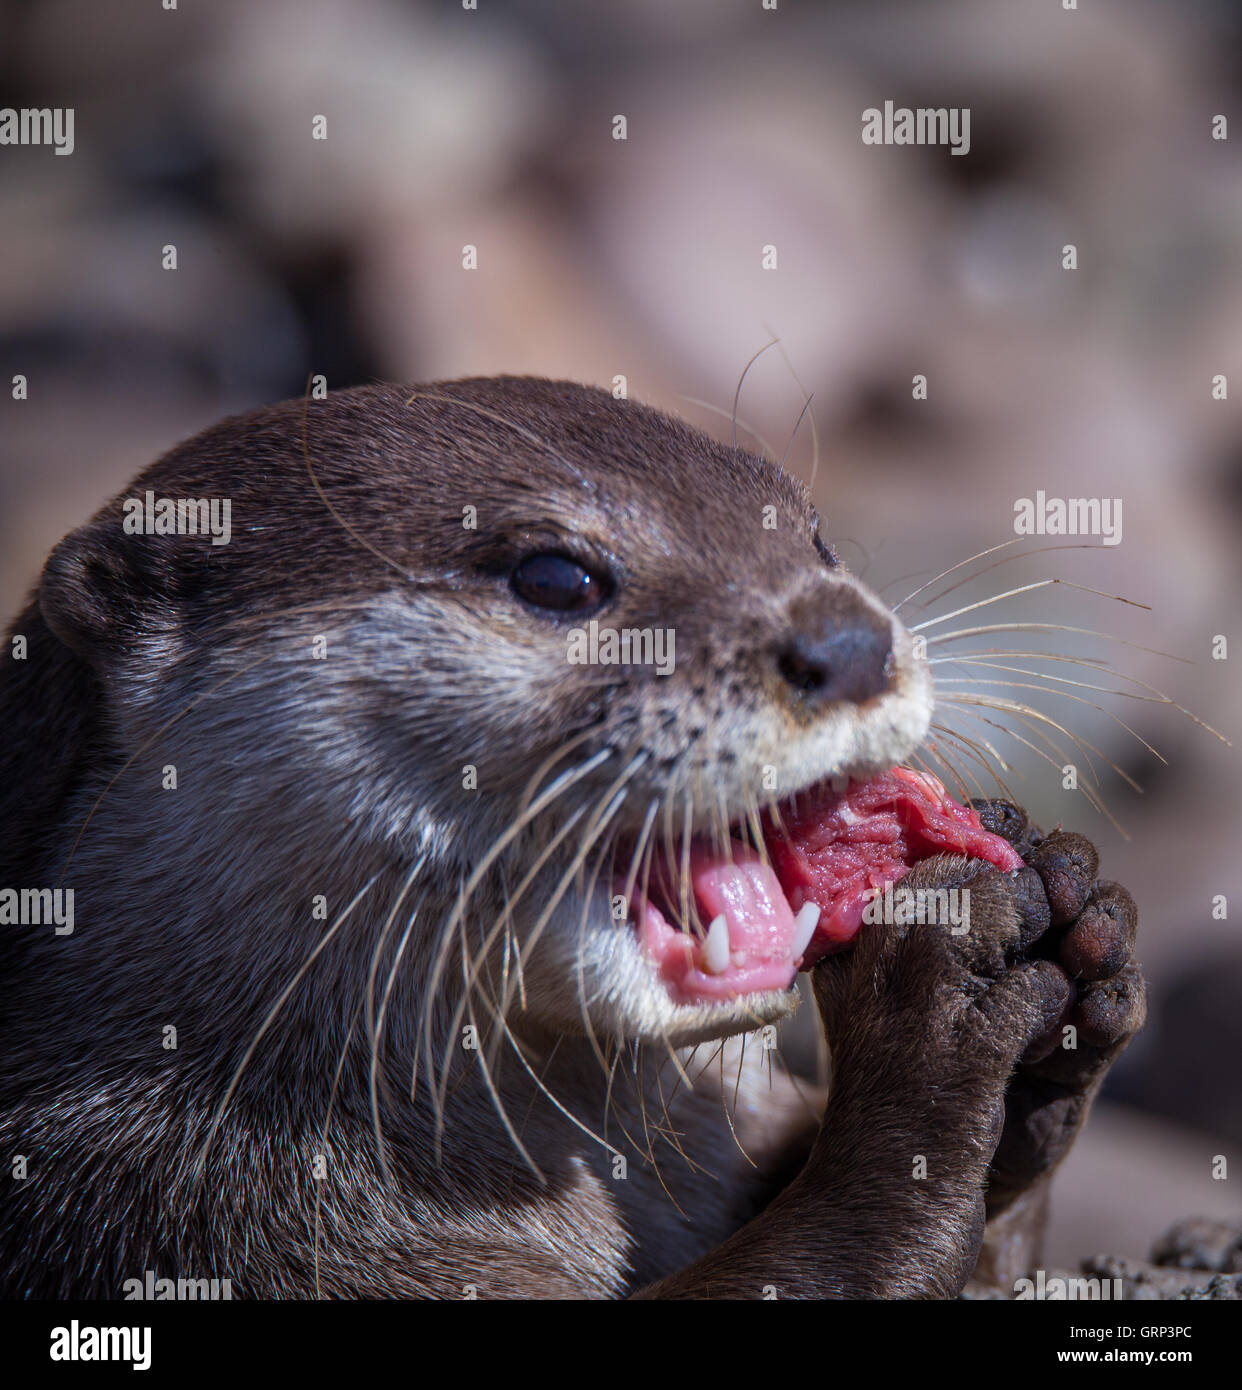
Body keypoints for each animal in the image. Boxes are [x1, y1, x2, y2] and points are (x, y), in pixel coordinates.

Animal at [2, 378, 1144, 1289]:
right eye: (557, 577)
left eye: (816, 538)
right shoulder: (188, 1222)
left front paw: (1070, 922)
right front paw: (930, 998)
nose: (852, 642)